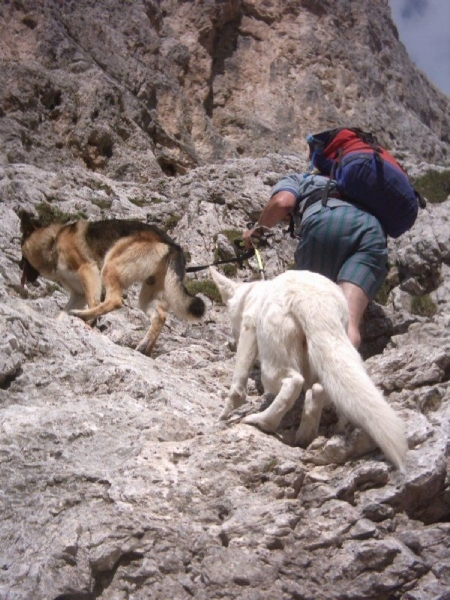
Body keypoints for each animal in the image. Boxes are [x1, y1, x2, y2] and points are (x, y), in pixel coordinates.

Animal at [18, 210, 206, 356]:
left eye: (22, 254)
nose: (19, 265)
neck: (53, 241)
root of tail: (172, 244)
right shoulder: (78, 294)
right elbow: (62, 314)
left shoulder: (88, 270)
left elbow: (93, 301)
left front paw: (89, 323)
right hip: (147, 294)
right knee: (159, 316)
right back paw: (144, 348)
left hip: (109, 267)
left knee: (114, 301)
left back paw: (82, 315)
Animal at [211, 268, 408, 474]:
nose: (233, 339)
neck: (253, 293)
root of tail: (312, 300)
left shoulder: (249, 329)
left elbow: (238, 384)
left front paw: (224, 414)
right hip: (334, 352)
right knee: (321, 389)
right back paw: (309, 434)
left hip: (274, 356)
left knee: (293, 383)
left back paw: (263, 421)